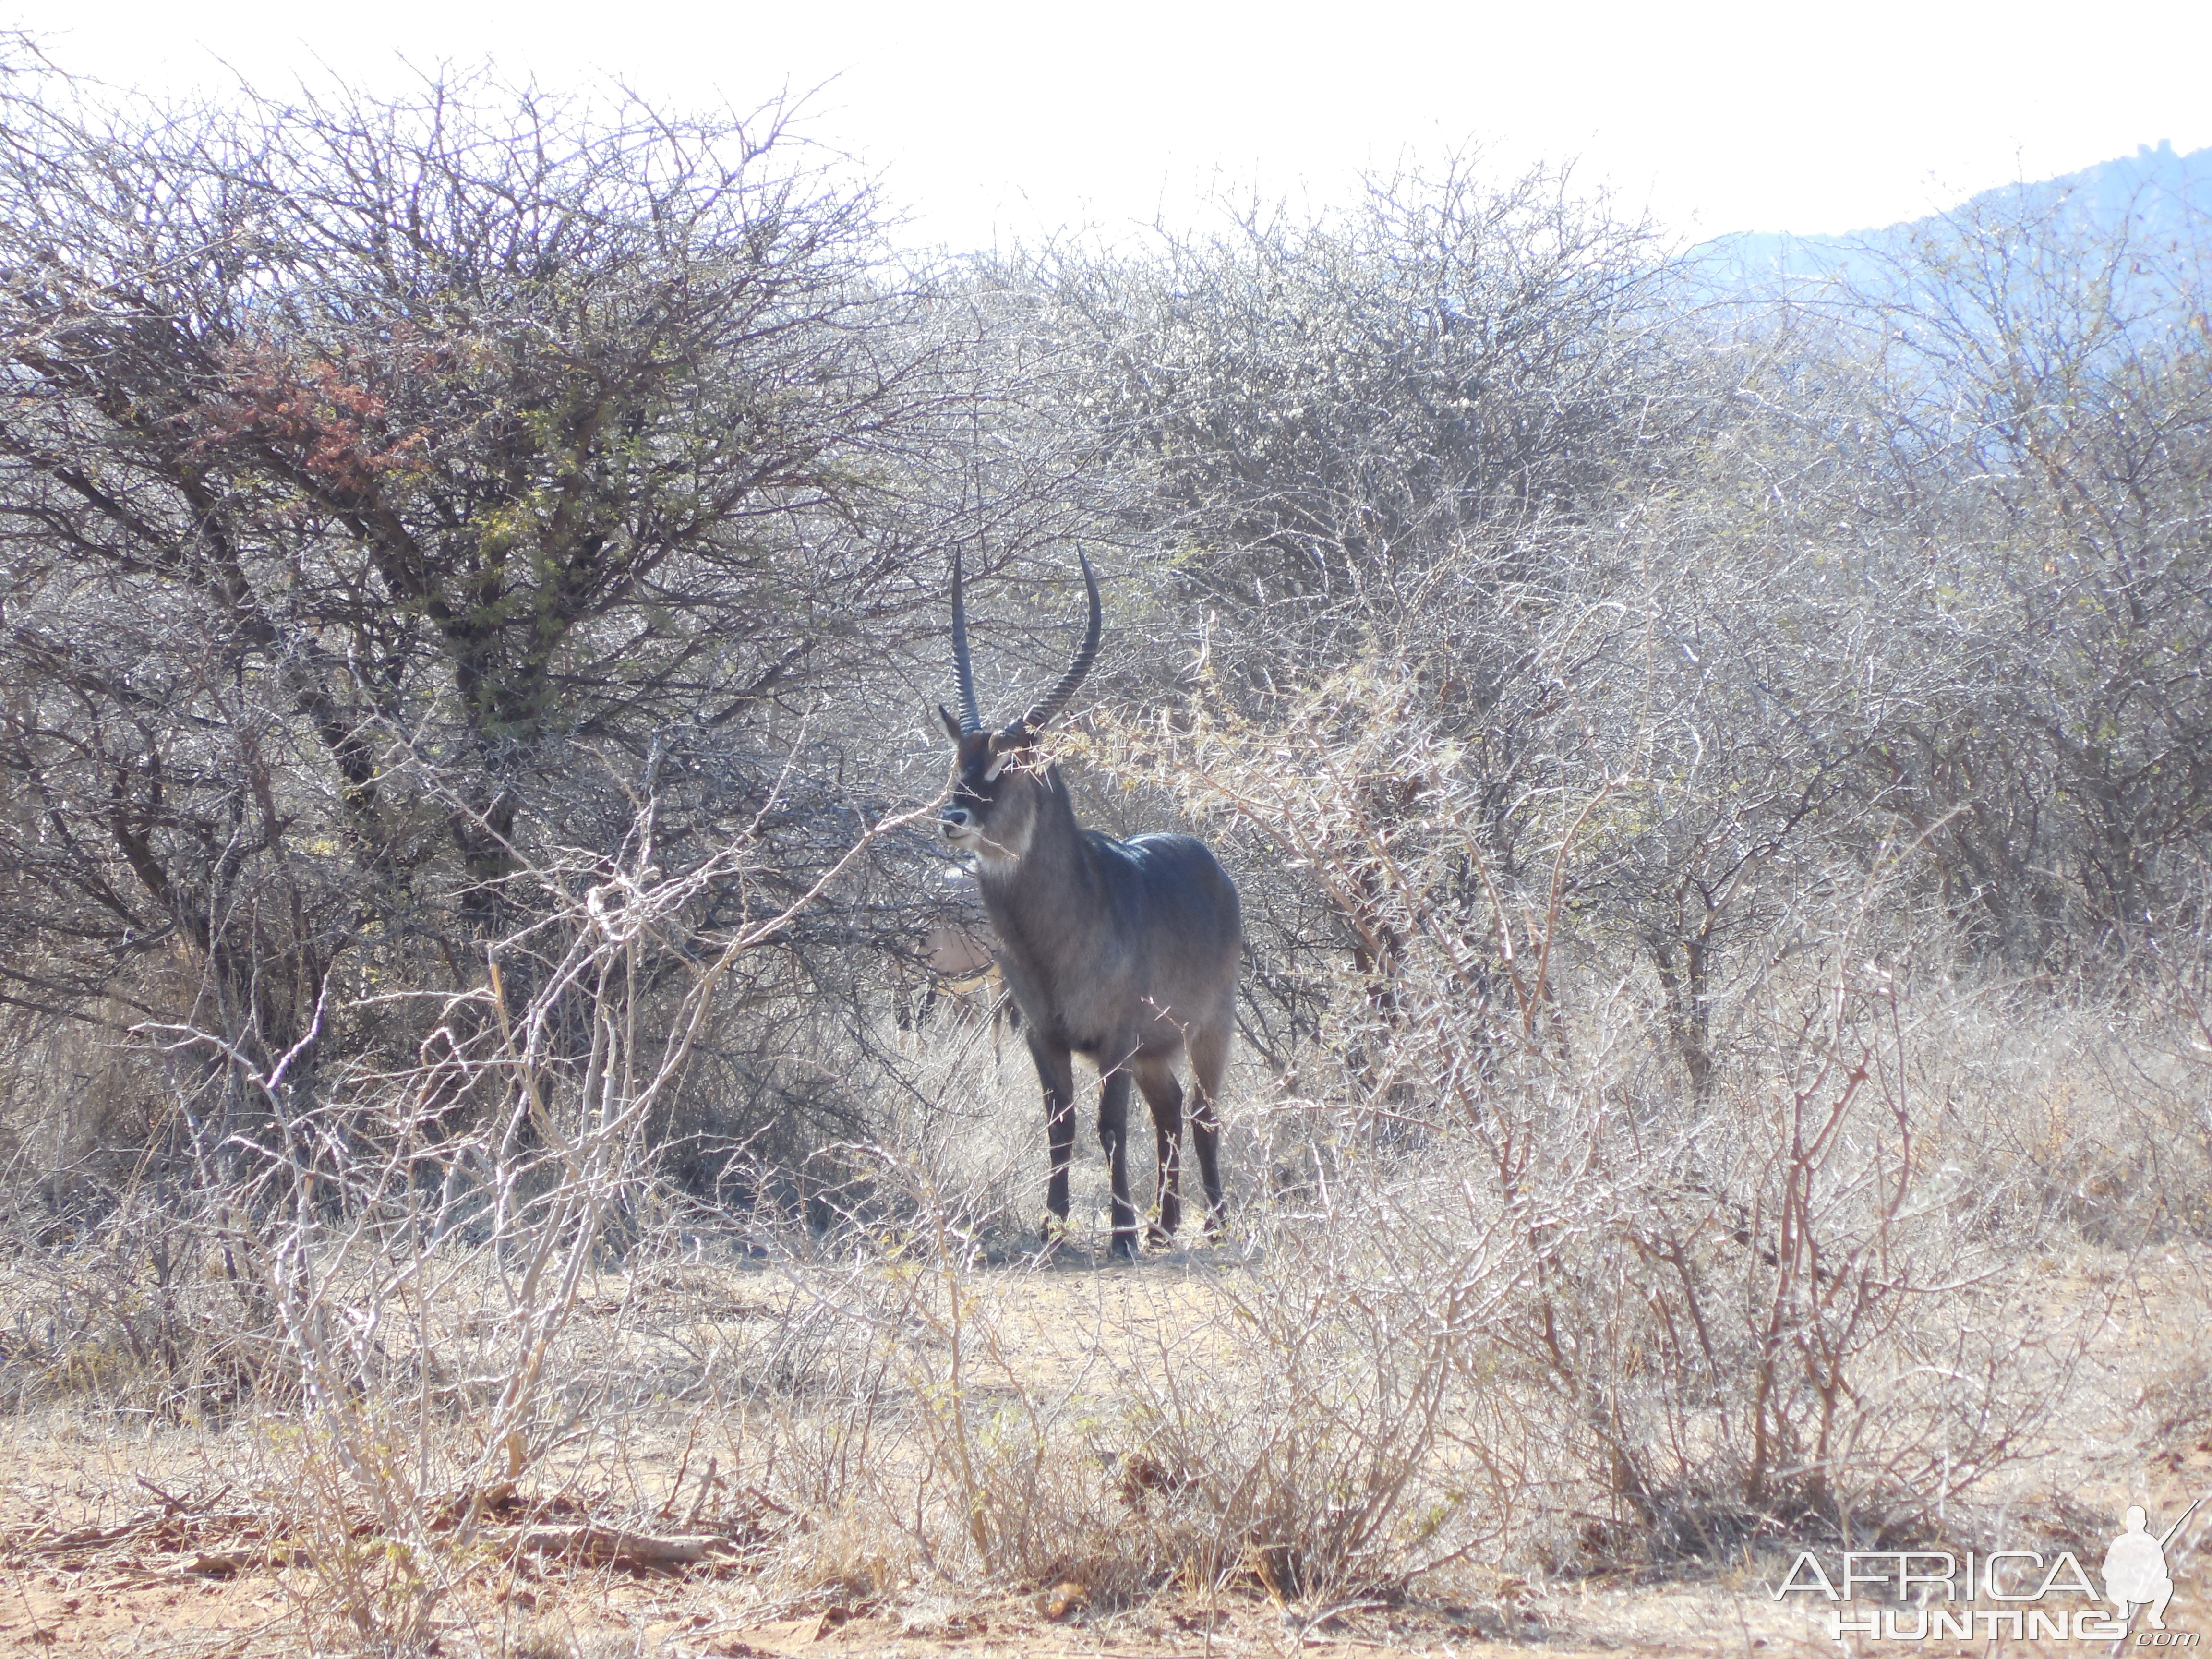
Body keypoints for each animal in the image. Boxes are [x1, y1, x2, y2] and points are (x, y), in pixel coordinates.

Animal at [938, 553, 1247, 1256]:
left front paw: (1120, 1235)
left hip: (1209, 1027)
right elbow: (1061, 1125)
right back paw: (1164, 1226)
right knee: (1169, 1111)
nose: (953, 818)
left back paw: (1211, 1225)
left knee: (1202, 1113)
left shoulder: (1116, 1038)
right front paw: (1054, 1230)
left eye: (1010, 765)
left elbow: (1110, 1127)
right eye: (959, 760)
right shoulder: (1041, 1036)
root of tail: (1210, 864)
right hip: (1157, 1049)